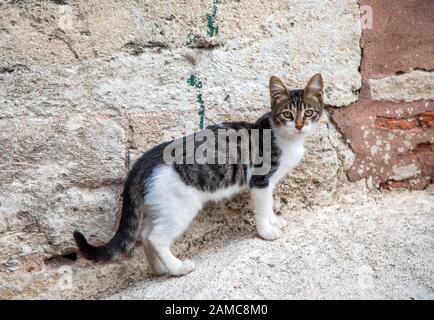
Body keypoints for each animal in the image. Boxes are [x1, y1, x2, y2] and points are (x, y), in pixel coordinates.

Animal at [74, 74, 324, 276]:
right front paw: (266, 232)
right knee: (157, 238)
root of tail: (146, 160)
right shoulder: (261, 180)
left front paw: (275, 220)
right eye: (288, 114)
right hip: (179, 207)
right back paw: (178, 269)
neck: (286, 138)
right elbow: (262, 208)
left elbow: (269, 204)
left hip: (159, 205)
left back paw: (159, 269)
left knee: (145, 234)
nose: (299, 125)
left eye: (308, 113)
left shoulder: (269, 183)